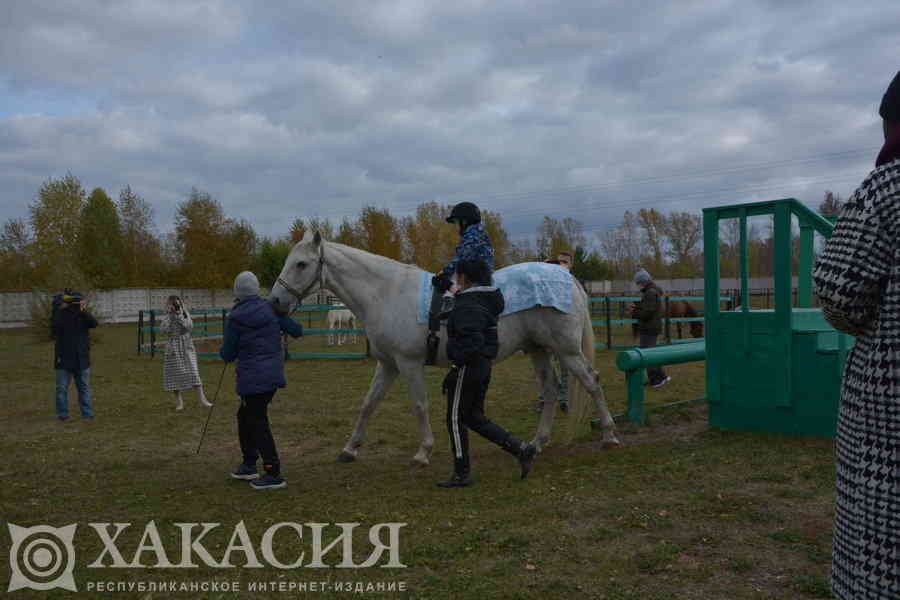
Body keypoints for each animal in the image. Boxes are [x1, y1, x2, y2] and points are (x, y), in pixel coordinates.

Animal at [268, 232, 620, 466]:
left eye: (301, 264)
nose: (275, 302)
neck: (386, 292)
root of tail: (564, 277)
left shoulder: (408, 364)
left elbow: (419, 405)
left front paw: (423, 451)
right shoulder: (388, 364)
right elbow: (368, 404)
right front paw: (350, 448)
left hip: (567, 350)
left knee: (591, 382)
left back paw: (609, 436)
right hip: (538, 349)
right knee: (549, 390)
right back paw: (536, 443)